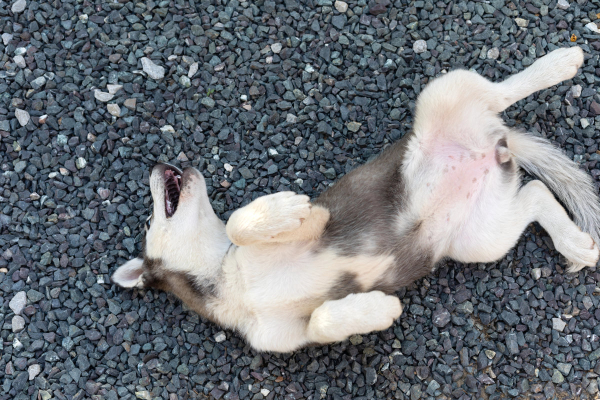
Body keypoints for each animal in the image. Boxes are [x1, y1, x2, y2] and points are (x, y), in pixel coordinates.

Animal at [110, 47, 596, 354]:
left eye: (149, 221)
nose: (158, 164)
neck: (229, 282)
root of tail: (495, 144)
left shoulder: (316, 222)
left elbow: (239, 223)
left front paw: (283, 209)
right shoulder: (292, 336)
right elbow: (325, 321)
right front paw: (377, 310)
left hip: (442, 93)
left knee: (502, 91)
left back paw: (561, 61)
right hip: (482, 238)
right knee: (535, 194)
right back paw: (577, 244)